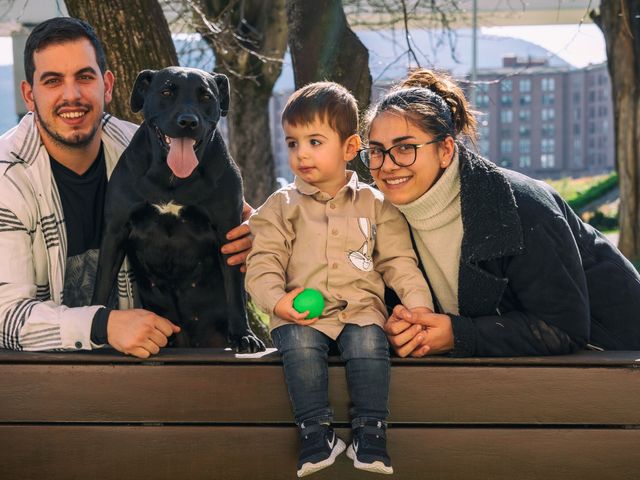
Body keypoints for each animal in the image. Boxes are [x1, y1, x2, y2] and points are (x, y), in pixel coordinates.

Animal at [92, 66, 264, 352]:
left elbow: (235, 291)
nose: (188, 122)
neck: (172, 179)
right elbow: (103, 281)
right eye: (166, 92)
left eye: (206, 96)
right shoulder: (115, 230)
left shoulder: (226, 231)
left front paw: (243, 335)